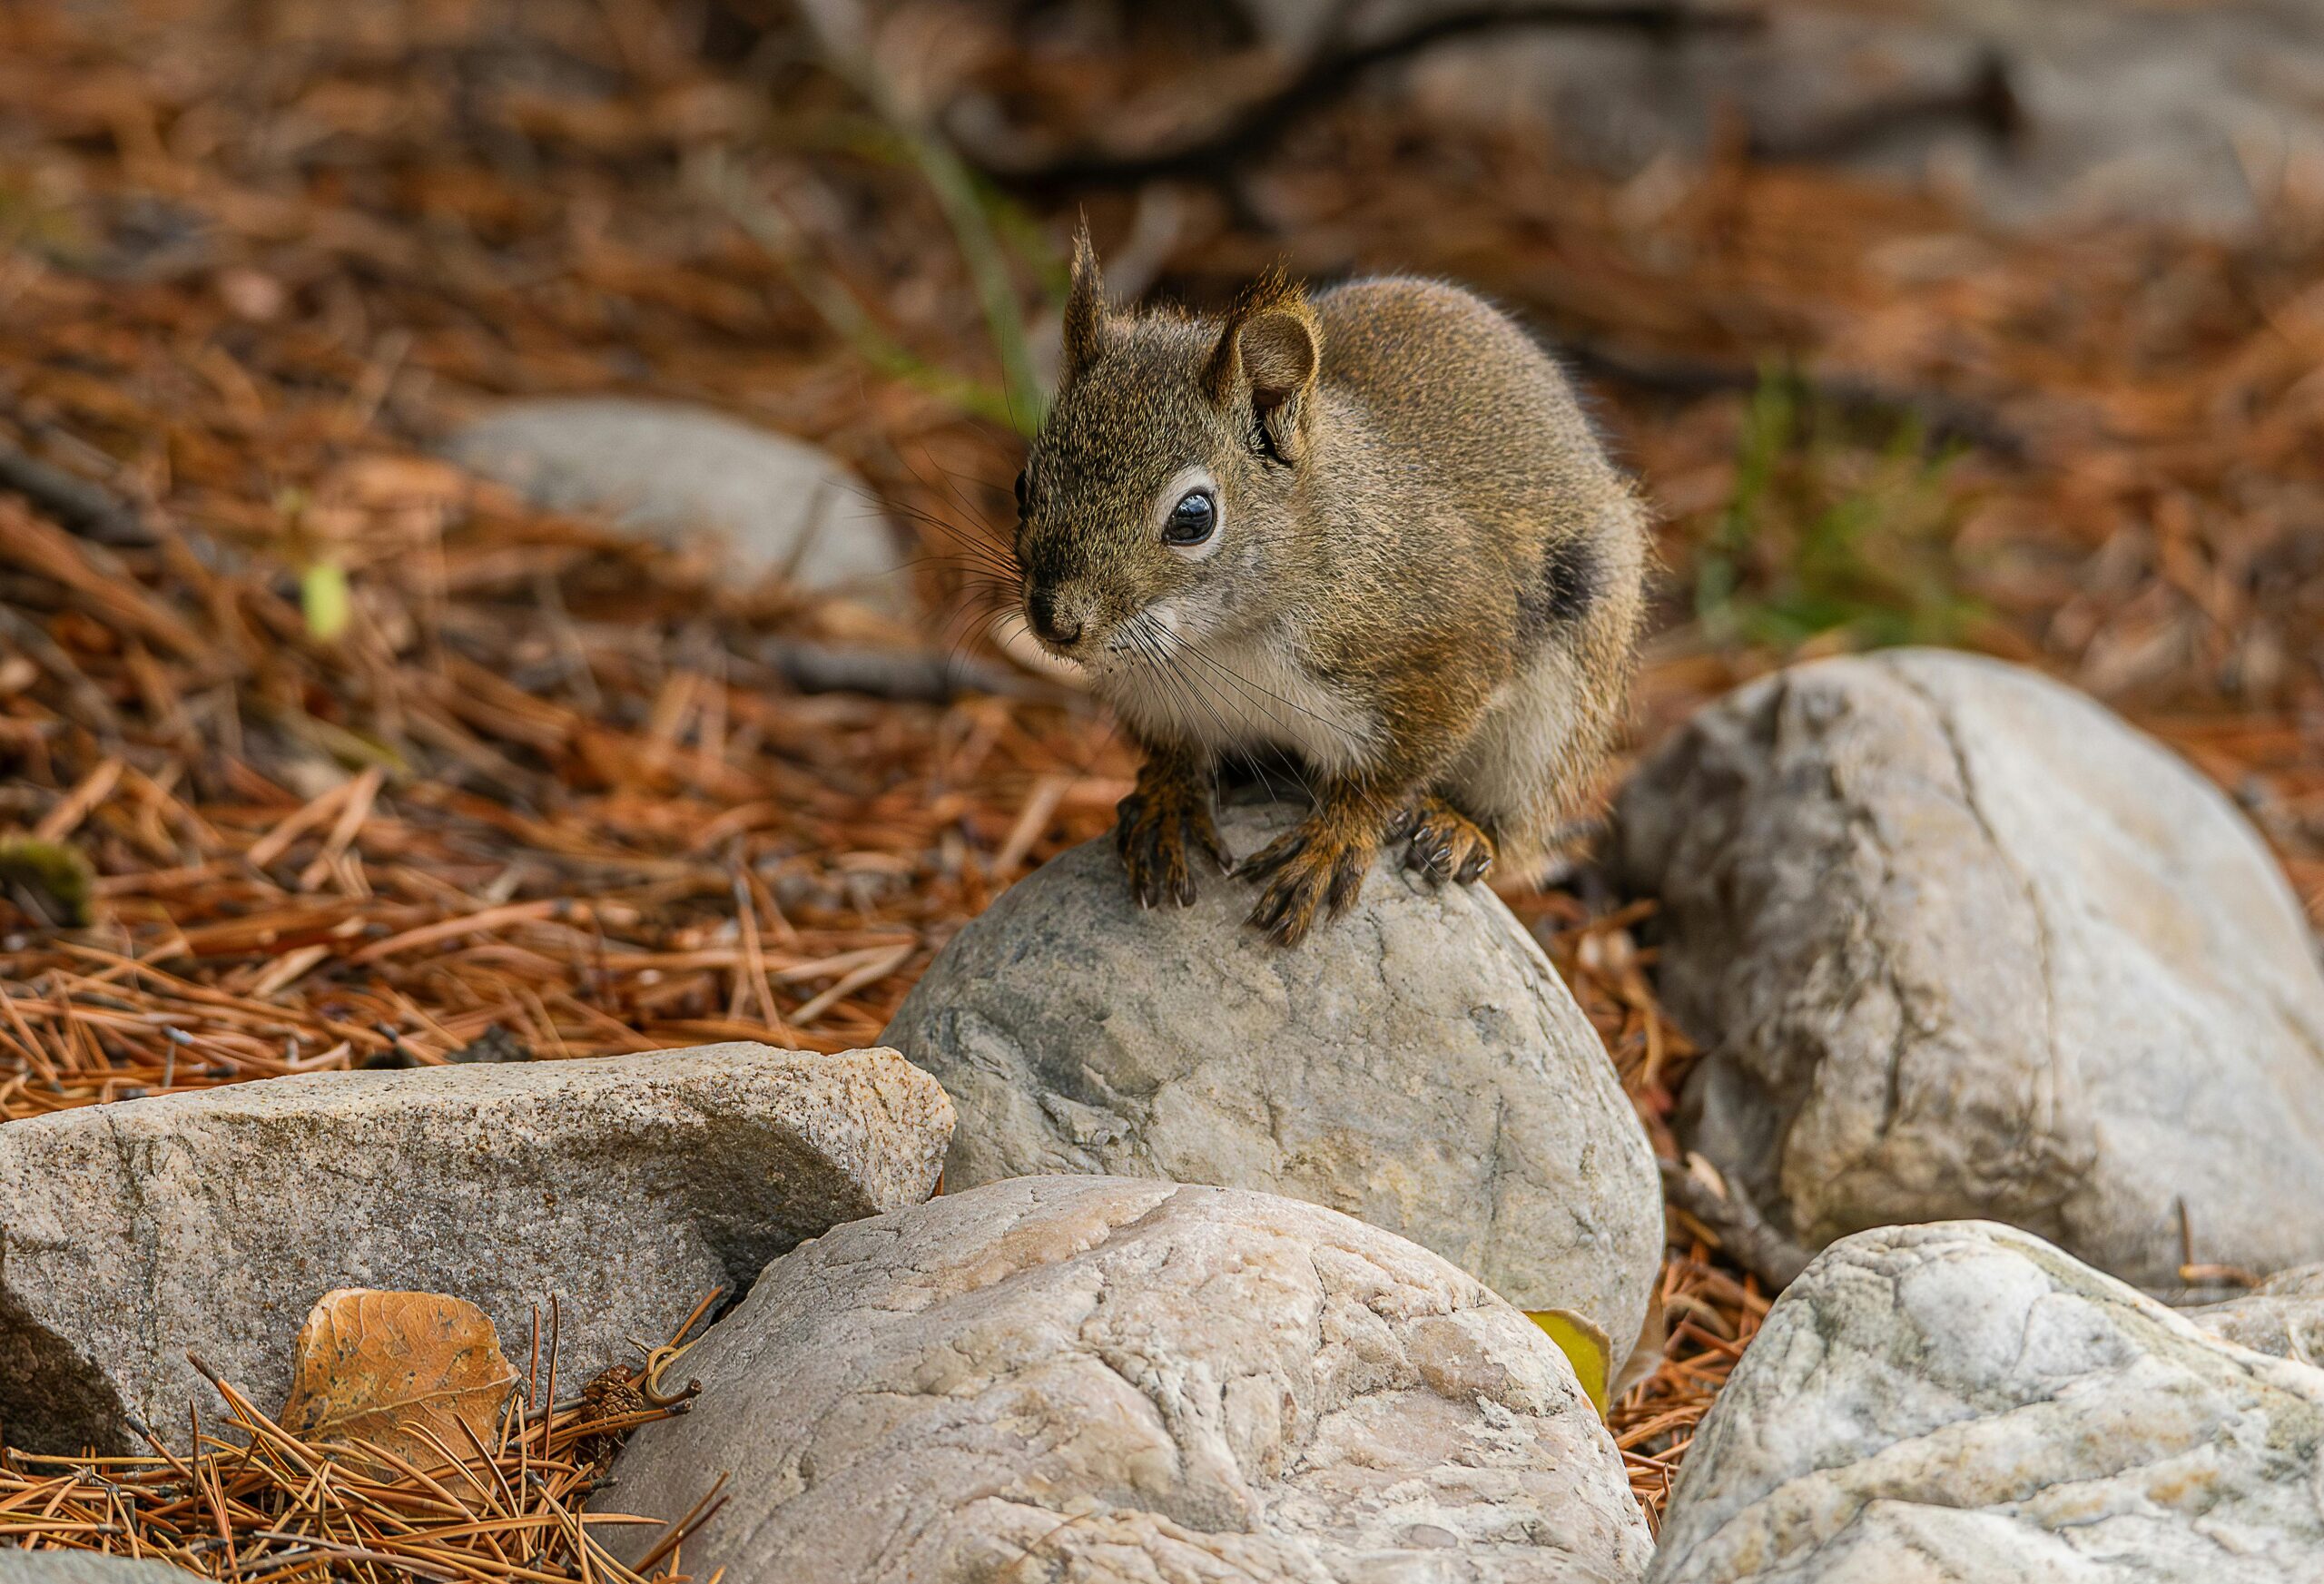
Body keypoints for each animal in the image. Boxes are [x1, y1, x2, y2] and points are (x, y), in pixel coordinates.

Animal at [1012, 232, 1648, 945]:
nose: (1054, 621)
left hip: (1561, 704)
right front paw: (1168, 796)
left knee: (1518, 824)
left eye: (1194, 517)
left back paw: (1459, 828)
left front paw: (1336, 837)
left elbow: (1392, 769)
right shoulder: (1152, 694)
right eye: (1023, 485)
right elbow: (1174, 749)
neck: (1222, 642)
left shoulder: (1451, 641)